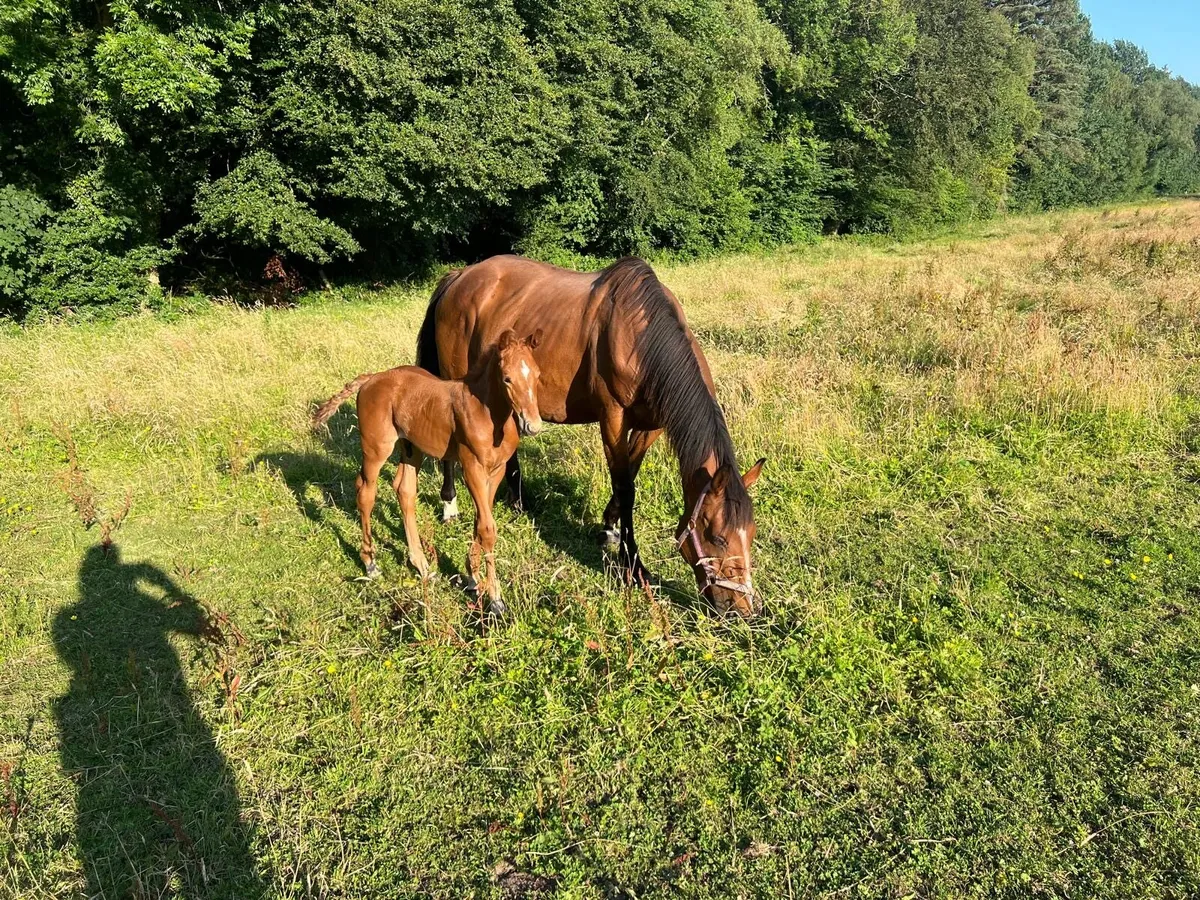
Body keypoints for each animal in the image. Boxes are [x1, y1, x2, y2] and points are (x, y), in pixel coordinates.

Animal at [313, 329, 543, 615]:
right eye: (507, 378)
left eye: (537, 375)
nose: (533, 425)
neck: (489, 416)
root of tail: (372, 378)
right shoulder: (472, 468)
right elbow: (488, 529)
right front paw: (496, 599)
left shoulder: (497, 471)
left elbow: (480, 522)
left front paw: (472, 577)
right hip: (376, 448)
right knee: (365, 492)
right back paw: (370, 563)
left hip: (411, 448)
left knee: (404, 491)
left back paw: (421, 564)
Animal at [415, 255, 766, 616]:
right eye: (718, 537)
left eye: (751, 533)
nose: (742, 609)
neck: (639, 338)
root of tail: (460, 276)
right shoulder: (612, 418)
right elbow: (625, 487)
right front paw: (633, 566)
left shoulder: (651, 425)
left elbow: (629, 475)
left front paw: (610, 527)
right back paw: (450, 504)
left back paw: (517, 500)